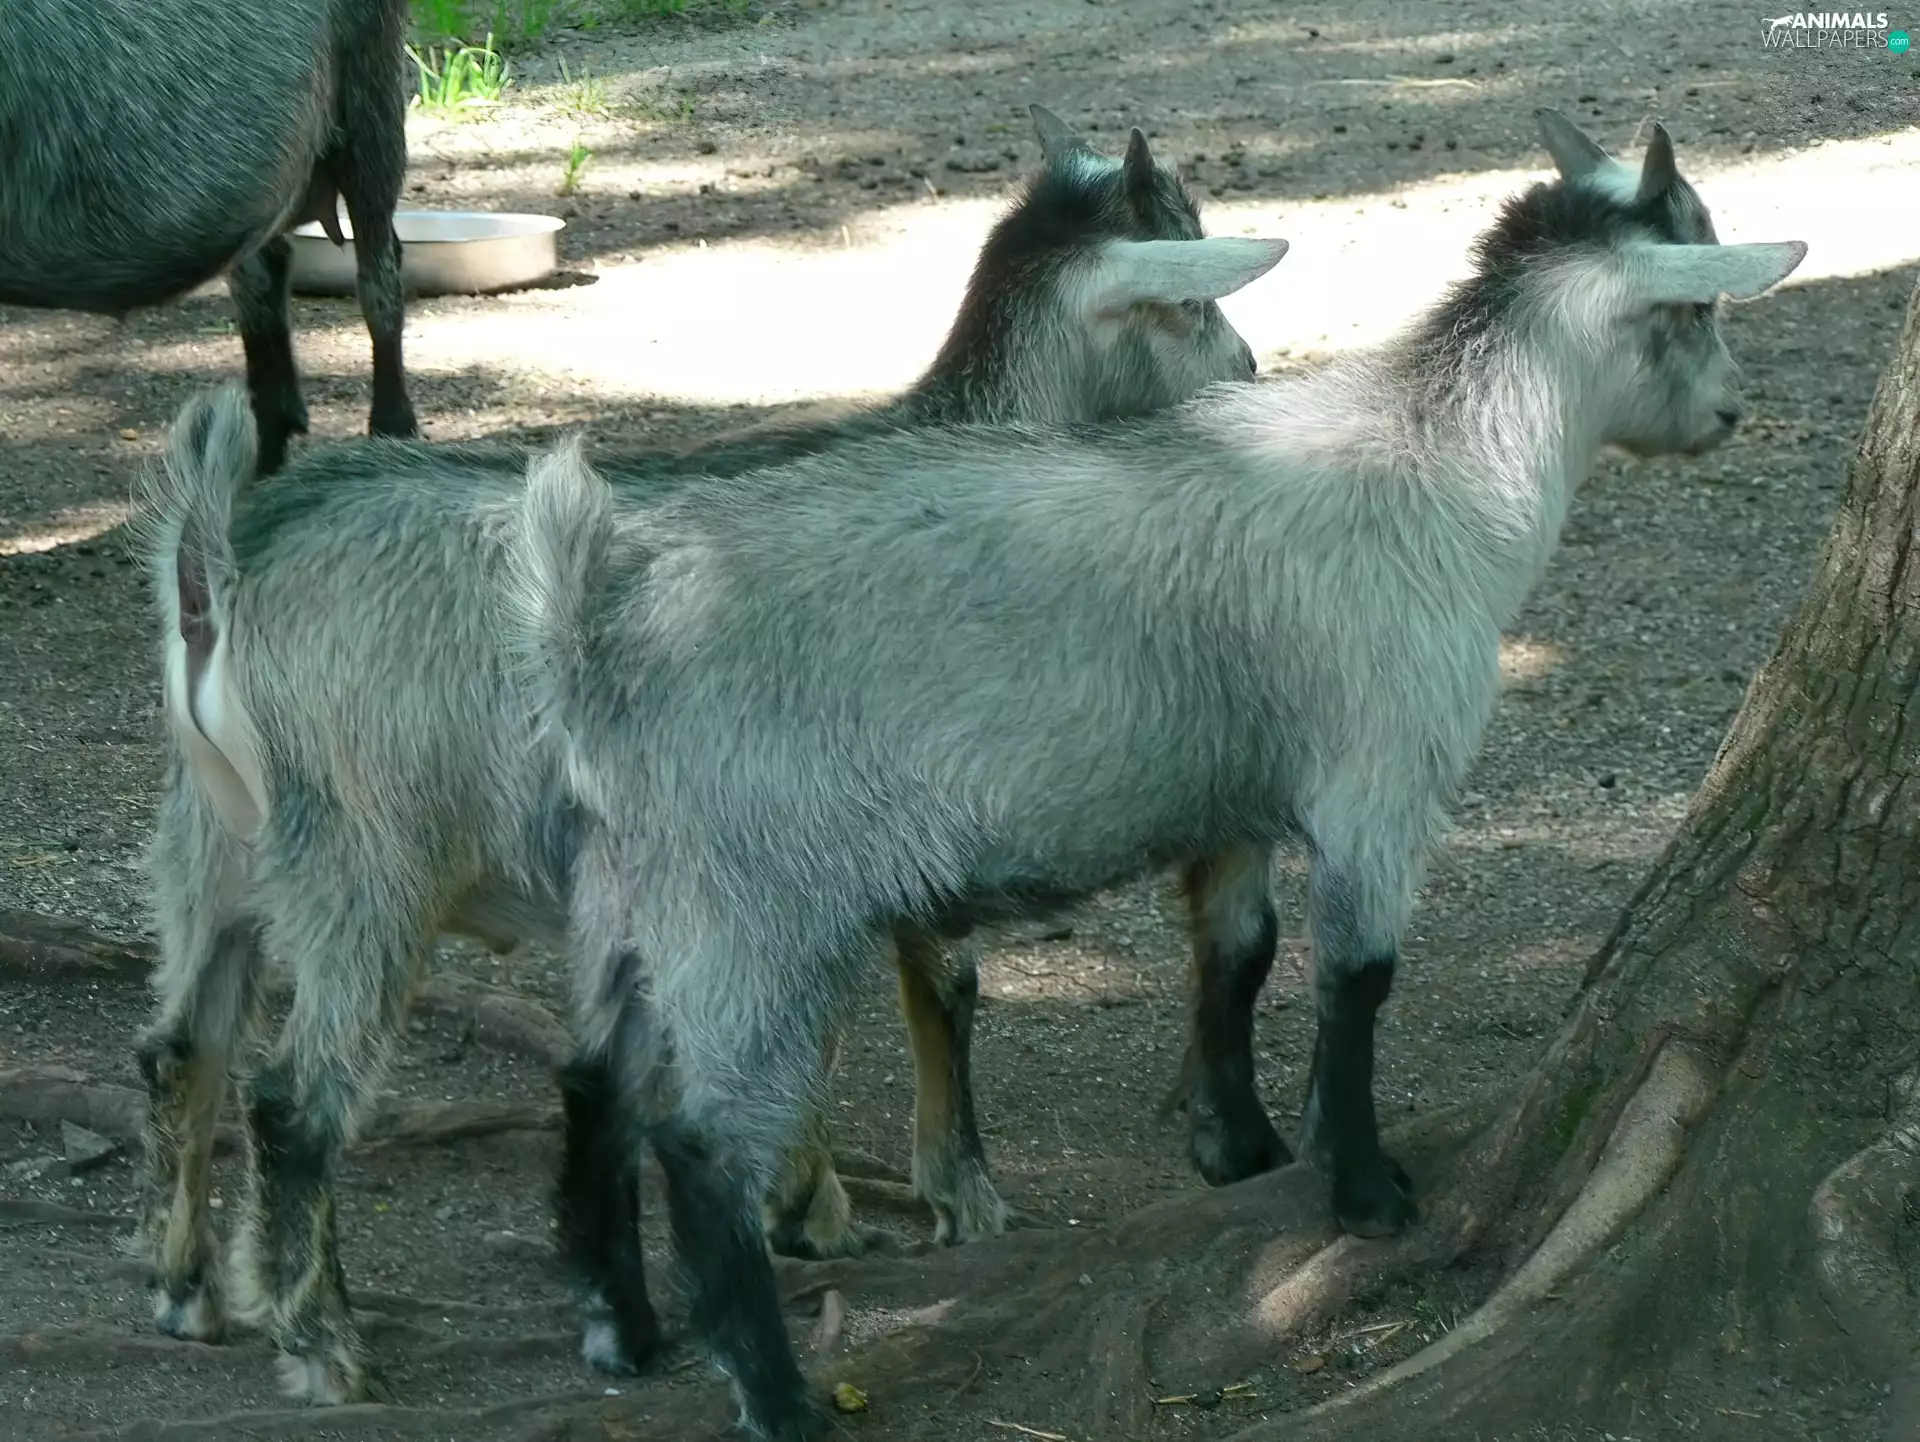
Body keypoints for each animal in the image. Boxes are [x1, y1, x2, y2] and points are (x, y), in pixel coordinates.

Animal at [129, 108, 1286, 1406]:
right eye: (1192, 296)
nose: (1251, 375)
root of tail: (219, 564)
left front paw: (811, 1204)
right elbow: (940, 986)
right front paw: (942, 1200)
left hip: (213, 836)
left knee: (181, 1044)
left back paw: (186, 1288)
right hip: (366, 854)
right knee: (291, 1095)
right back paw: (321, 1338)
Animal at [502, 110, 1806, 1440]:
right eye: (1699, 305)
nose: (1734, 410)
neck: (1440, 465)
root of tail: (591, 619)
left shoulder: (1234, 800)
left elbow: (1239, 955)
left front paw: (1247, 1149)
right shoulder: (1379, 774)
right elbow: (1357, 979)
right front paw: (1365, 1188)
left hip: (624, 885)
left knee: (593, 1079)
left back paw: (622, 1327)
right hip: (755, 903)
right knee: (703, 1141)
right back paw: (775, 1392)